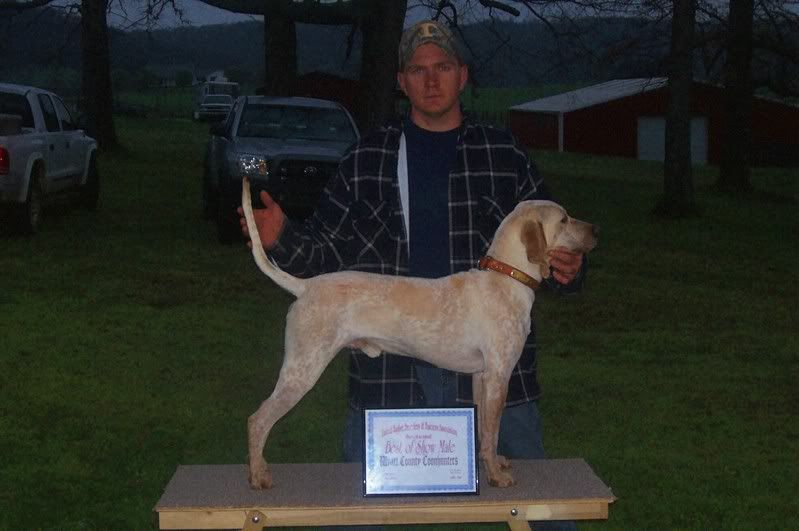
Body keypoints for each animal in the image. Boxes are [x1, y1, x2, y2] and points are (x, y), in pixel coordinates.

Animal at [241, 177, 598, 489]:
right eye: (564, 219)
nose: (596, 230)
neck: (506, 279)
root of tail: (305, 287)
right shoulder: (499, 374)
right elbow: (493, 430)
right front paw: (497, 476)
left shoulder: (482, 376)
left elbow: (485, 432)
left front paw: (491, 463)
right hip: (302, 369)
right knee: (257, 419)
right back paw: (258, 475)